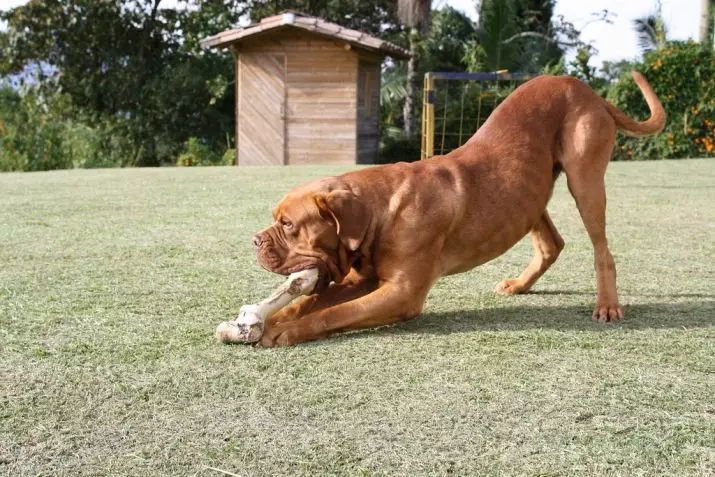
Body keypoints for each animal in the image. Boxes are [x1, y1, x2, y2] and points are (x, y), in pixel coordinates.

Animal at [252, 71, 664, 346]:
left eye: (287, 224)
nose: (255, 240)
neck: (379, 212)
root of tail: (589, 91)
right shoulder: (364, 279)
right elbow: (311, 300)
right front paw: (263, 319)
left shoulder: (402, 293)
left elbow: (332, 313)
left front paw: (284, 331)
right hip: (529, 192)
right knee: (552, 243)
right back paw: (520, 284)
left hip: (586, 181)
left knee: (601, 249)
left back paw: (607, 305)